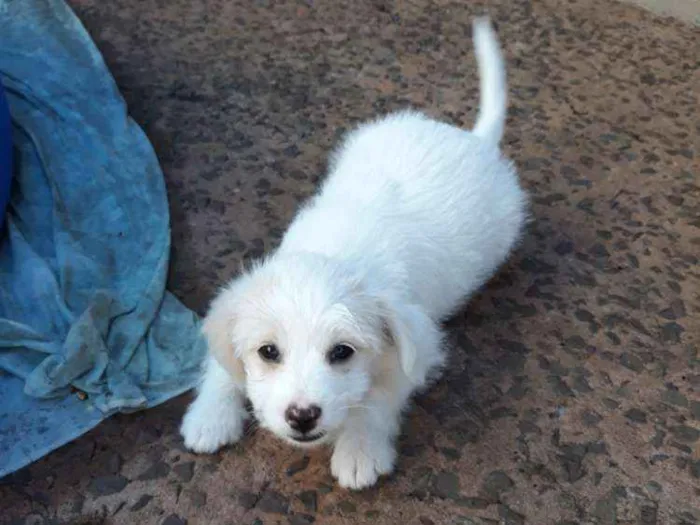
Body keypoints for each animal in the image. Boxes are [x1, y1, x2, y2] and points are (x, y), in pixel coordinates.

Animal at [180, 18, 524, 490]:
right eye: (268, 352)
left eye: (342, 352)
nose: (302, 416)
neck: (336, 250)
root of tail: (473, 140)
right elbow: (221, 366)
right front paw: (209, 416)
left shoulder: (411, 348)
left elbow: (377, 400)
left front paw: (360, 451)